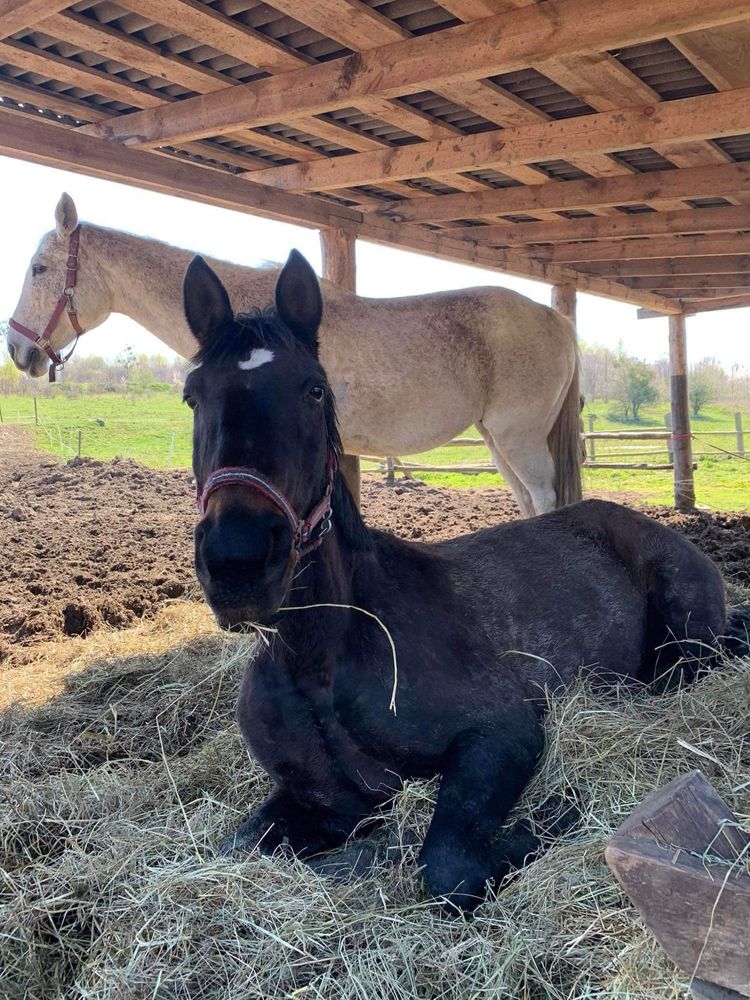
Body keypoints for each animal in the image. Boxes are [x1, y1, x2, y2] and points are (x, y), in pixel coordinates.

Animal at [5, 193, 580, 516]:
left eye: (38, 268)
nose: (16, 348)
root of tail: (559, 322)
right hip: (497, 441)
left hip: (517, 438)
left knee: (543, 499)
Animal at [182, 248, 740, 916]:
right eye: (192, 396)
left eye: (315, 389)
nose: (237, 563)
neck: (320, 660)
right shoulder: (313, 795)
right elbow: (237, 848)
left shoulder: (499, 735)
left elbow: (447, 864)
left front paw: (553, 817)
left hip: (688, 639)